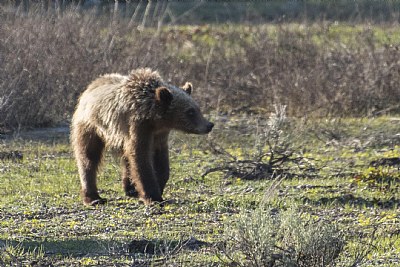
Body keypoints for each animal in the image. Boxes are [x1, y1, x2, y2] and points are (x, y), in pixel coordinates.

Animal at [70, 68, 214, 206]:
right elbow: (141, 158)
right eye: (190, 112)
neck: (153, 118)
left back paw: (130, 189)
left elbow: (160, 160)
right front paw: (153, 197)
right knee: (88, 157)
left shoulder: (160, 134)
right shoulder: (138, 128)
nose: (209, 125)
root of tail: (90, 87)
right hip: (91, 126)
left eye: (198, 108)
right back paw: (93, 198)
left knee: (125, 159)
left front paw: (158, 185)